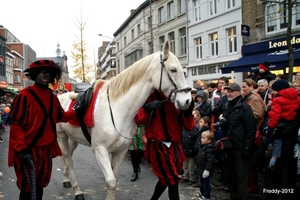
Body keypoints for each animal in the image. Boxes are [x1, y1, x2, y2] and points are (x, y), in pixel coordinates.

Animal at [56, 41, 192, 200]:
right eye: (173, 69)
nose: (187, 101)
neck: (118, 109)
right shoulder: (100, 150)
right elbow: (111, 181)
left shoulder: (120, 151)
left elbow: (114, 178)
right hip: (61, 137)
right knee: (69, 160)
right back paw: (78, 191)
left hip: (73, 138)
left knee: (68, 158)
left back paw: (66, 179)